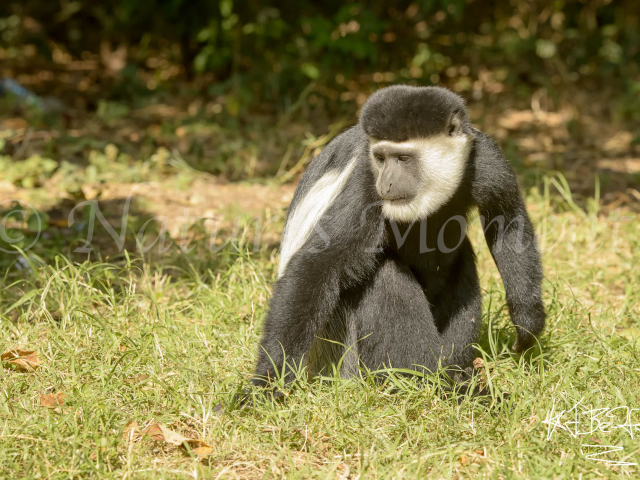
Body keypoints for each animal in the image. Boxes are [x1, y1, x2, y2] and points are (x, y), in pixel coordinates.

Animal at [249, 85, 545, 392]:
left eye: (403, 159)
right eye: (381, 159)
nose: (387, 182)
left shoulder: (485, 158)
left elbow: (508, 222)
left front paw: (527, 324)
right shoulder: (364, 183)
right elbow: (318, 265)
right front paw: (266, 382)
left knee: (462, 263)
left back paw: (456, 372)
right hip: (341, 350)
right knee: (384, 277)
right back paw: (428, 381)